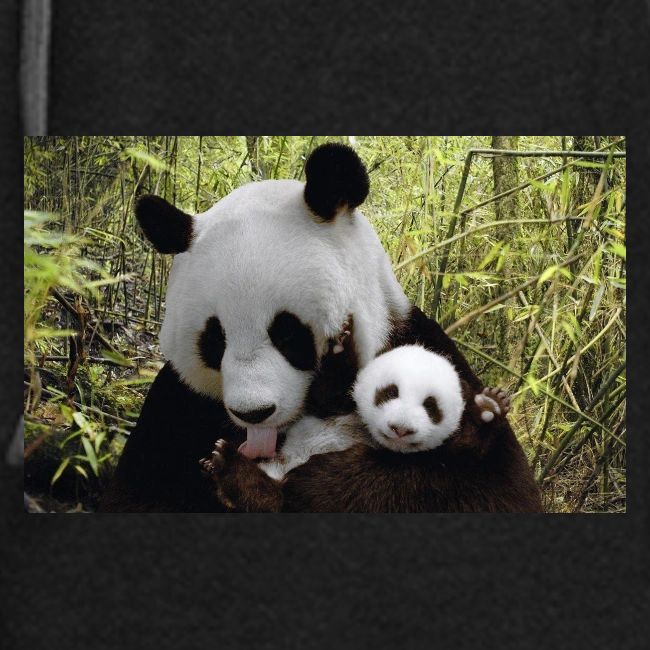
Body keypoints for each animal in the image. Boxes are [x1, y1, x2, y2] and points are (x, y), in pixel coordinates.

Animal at [99, 143, 541, 513]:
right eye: (215, 340)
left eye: (288, 333)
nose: (254, 413)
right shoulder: (179, 405)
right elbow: (140, 492)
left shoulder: (421, 346)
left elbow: (487, 488)